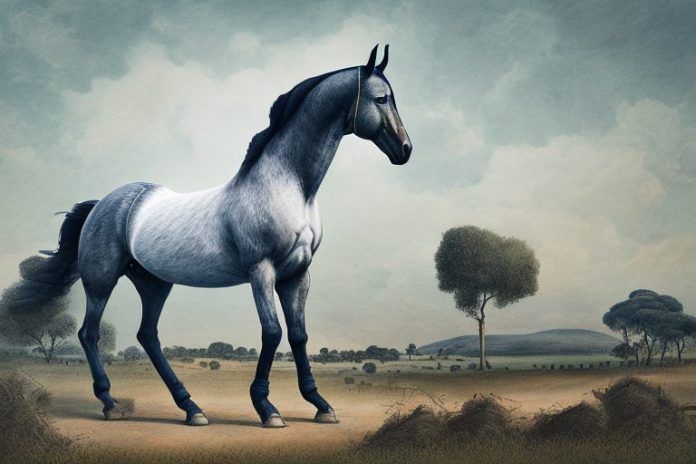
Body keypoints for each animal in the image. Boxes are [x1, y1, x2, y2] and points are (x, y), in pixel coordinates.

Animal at [35, 44, 411, 428]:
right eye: (381, 98)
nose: (405, 150)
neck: (289, 187)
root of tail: (104, 203)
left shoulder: (297, 274)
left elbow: (299, 335)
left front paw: (320, 405)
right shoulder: (262, 270)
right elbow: (273, 332)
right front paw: (267, 408)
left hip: (154, 282)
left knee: (148, 335)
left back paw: (191, 408)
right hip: (102, 280)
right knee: (90, 333)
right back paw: (111, 403)